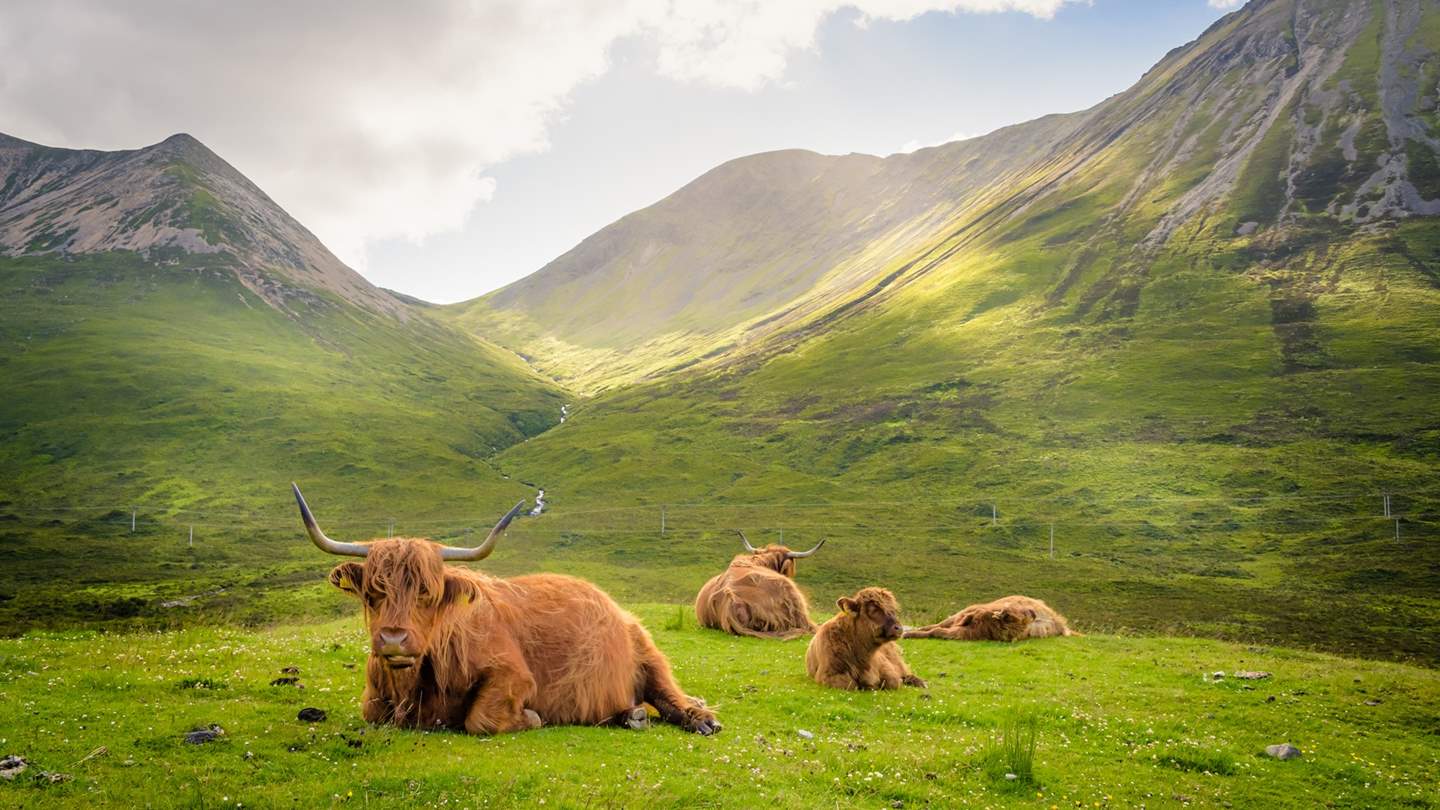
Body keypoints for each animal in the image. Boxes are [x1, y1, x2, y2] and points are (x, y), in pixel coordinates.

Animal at [290, 481, 720, 735]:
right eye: (373, 593)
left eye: (428, 593)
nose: (394, 640)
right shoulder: (374, 698)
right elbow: (371, 711)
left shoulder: (514, 675)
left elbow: (479, 719)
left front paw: (531, 718)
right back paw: (630, 715)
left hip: (648, 654)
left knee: (670, 696)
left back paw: (701, 719)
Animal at [904, 590, 1077, 639]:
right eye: (1023, 612)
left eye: (1025, 616)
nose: (1032, 612)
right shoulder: (961, 615)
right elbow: (936, 626)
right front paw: (911, 632)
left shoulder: (964, 632)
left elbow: (937, 631)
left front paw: (911, 634)